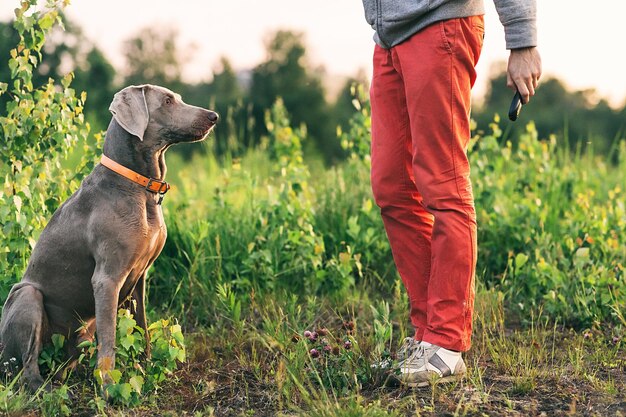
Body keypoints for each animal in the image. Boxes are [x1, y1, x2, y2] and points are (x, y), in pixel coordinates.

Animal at [0, 84, 217, 390]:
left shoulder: (139, 279)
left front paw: (146, 370)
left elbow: (141, 328)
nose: (214, 116)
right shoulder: (107, 278)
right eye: (167, 101)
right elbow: (110, 339)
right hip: (25, 296)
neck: (139, 187)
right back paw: (45, 388)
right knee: (26, 367)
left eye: (178, 97)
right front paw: (109, 386)